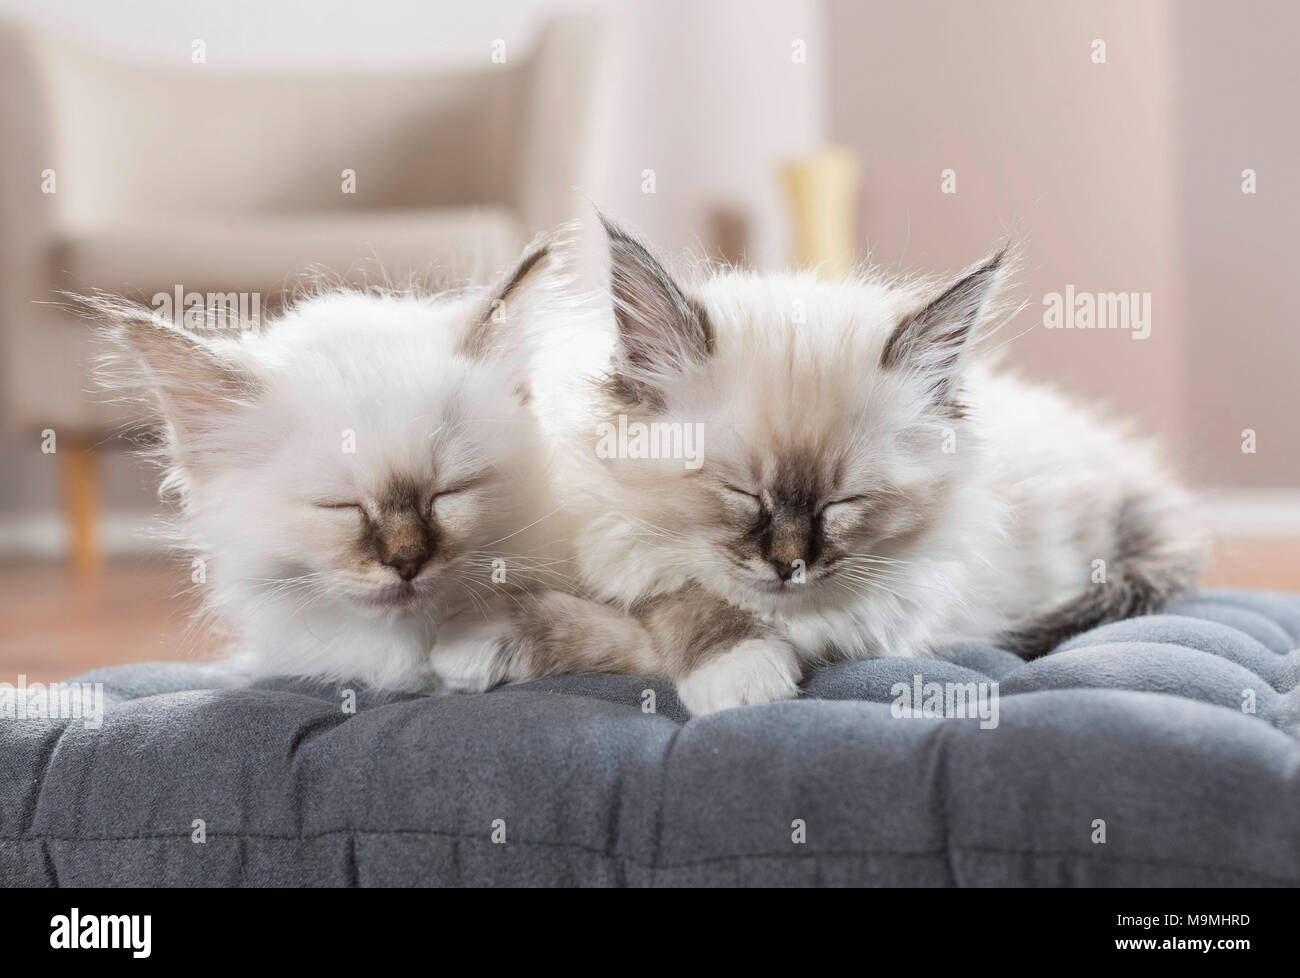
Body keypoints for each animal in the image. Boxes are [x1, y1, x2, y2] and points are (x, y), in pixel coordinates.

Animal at [533, 217, 1201, 712]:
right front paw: (740, 670)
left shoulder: (886, 617)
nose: (789, 566)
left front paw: (744, 678)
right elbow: (677, 595)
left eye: (842, 503)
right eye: (742, 494)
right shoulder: (609, 539)